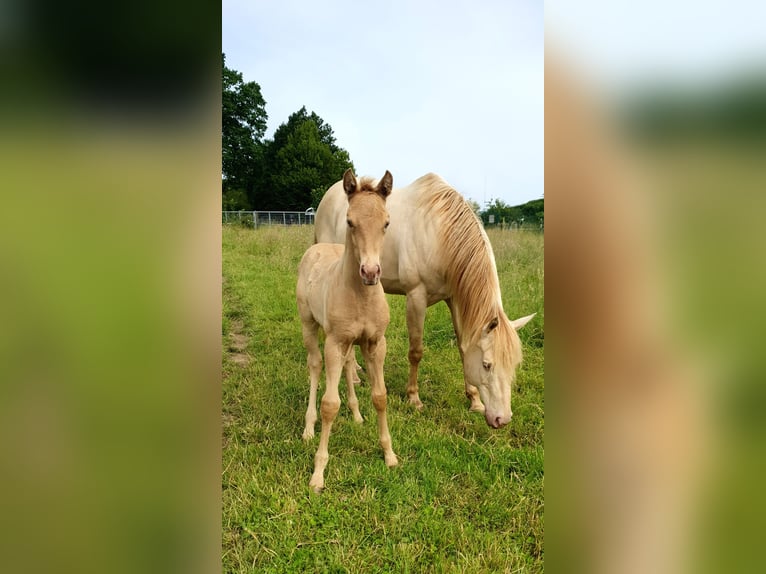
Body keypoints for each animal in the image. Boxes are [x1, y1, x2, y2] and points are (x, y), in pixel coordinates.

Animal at [296, 169, 397, 492]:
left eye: (386, 222)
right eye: (350, 222)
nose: (371, 272)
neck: (361, 295)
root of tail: (317, 247)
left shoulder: (375, 342)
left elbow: (380, 396)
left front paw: (389, 455)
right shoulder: (334, 341)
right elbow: (329, 404)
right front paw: (318, 473)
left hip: (351, 343)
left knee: (348, 365)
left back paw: (355, 414)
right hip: (309, 325)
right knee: (314, 366)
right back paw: (308, 427)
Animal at [315, 172, 535, 428]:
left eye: (514, 365)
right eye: (487, 365)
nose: (502, 419)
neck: (439, 234)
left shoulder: (454, 299)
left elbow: (463, 347)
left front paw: (474, 400)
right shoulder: (416, 298)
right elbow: (416, 351)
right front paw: (414, 398)